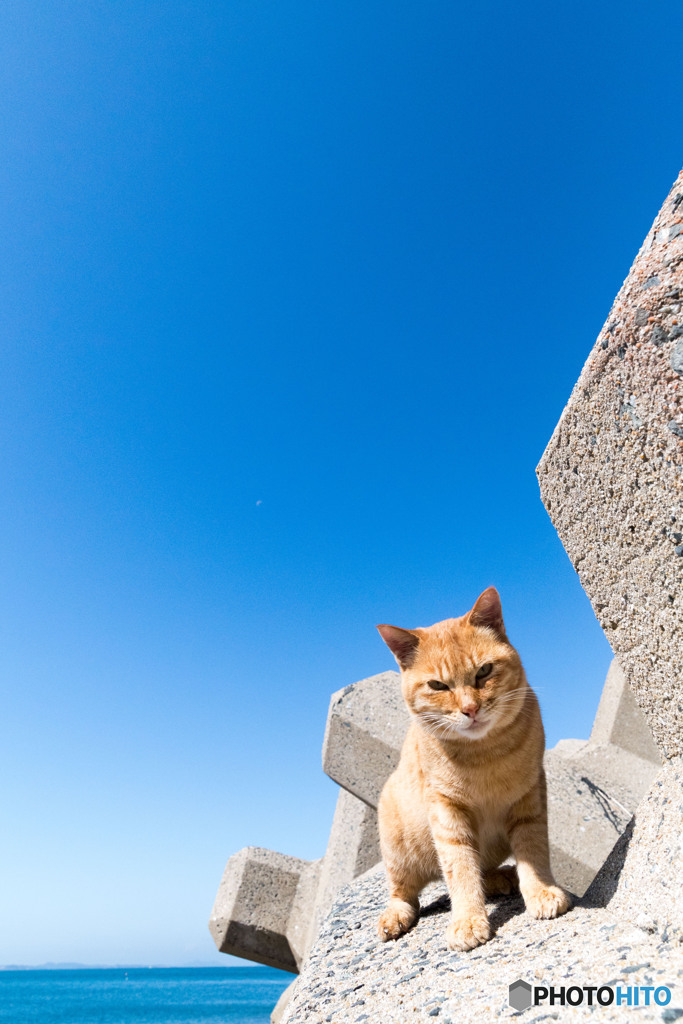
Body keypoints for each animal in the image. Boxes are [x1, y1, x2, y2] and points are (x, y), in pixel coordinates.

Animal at [376, 593, 569, 950]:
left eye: (485, 671)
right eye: (438, 685)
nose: (470, 709)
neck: (484, 757)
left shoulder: (530, 797)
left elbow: (532, 850)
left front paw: (539, 890)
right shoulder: (446, 810)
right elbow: (459, 867)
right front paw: (467, 920)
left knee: (482, 866)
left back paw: (502, 877)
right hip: (395, 838)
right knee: (405, 892)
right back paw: (395, 916)